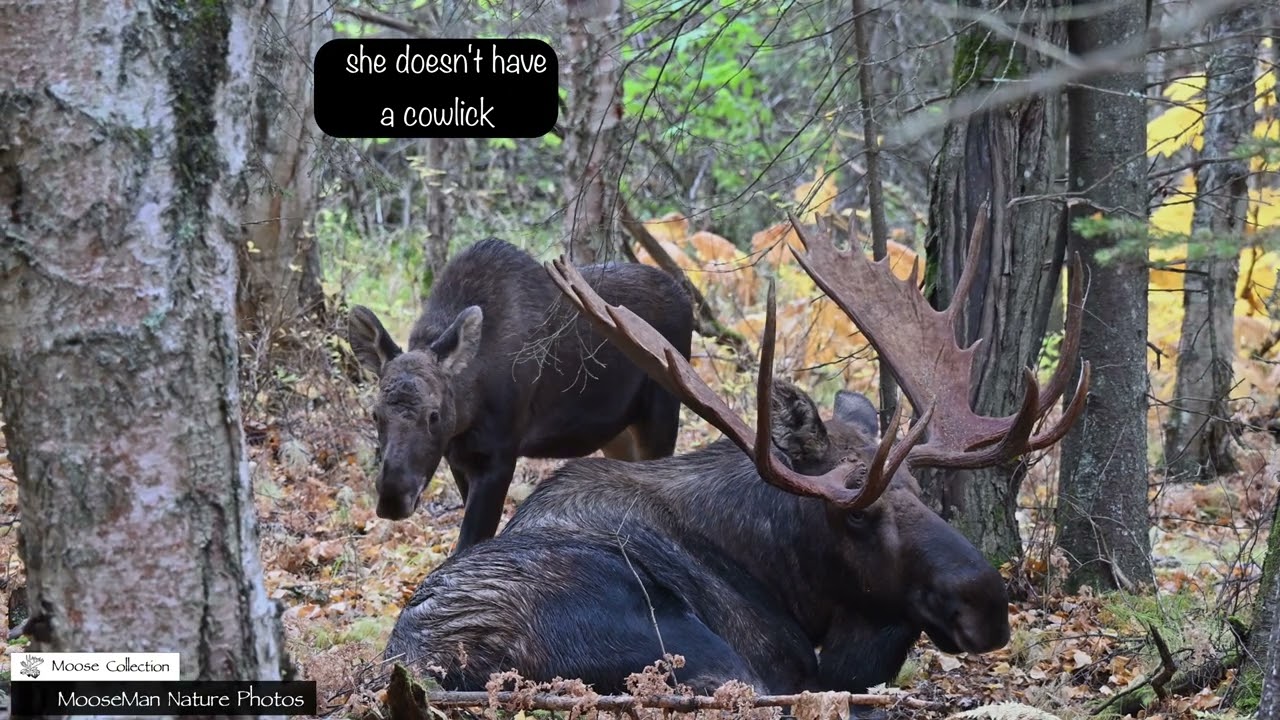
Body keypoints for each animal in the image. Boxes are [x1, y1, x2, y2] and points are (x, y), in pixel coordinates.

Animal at [347, 238, 694, 552]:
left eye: (434, 415)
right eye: (375, 414)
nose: (393, 496)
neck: (469, 407)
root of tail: (688, 299)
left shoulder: (499, 454)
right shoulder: (459, 457)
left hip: (662, 411)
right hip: (617, 432)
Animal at [382, 211, 1090, 694]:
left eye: (921, 494)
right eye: (858, 513)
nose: (988, 605)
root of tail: (440, 668)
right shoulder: (783, 660)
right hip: (694, 651)